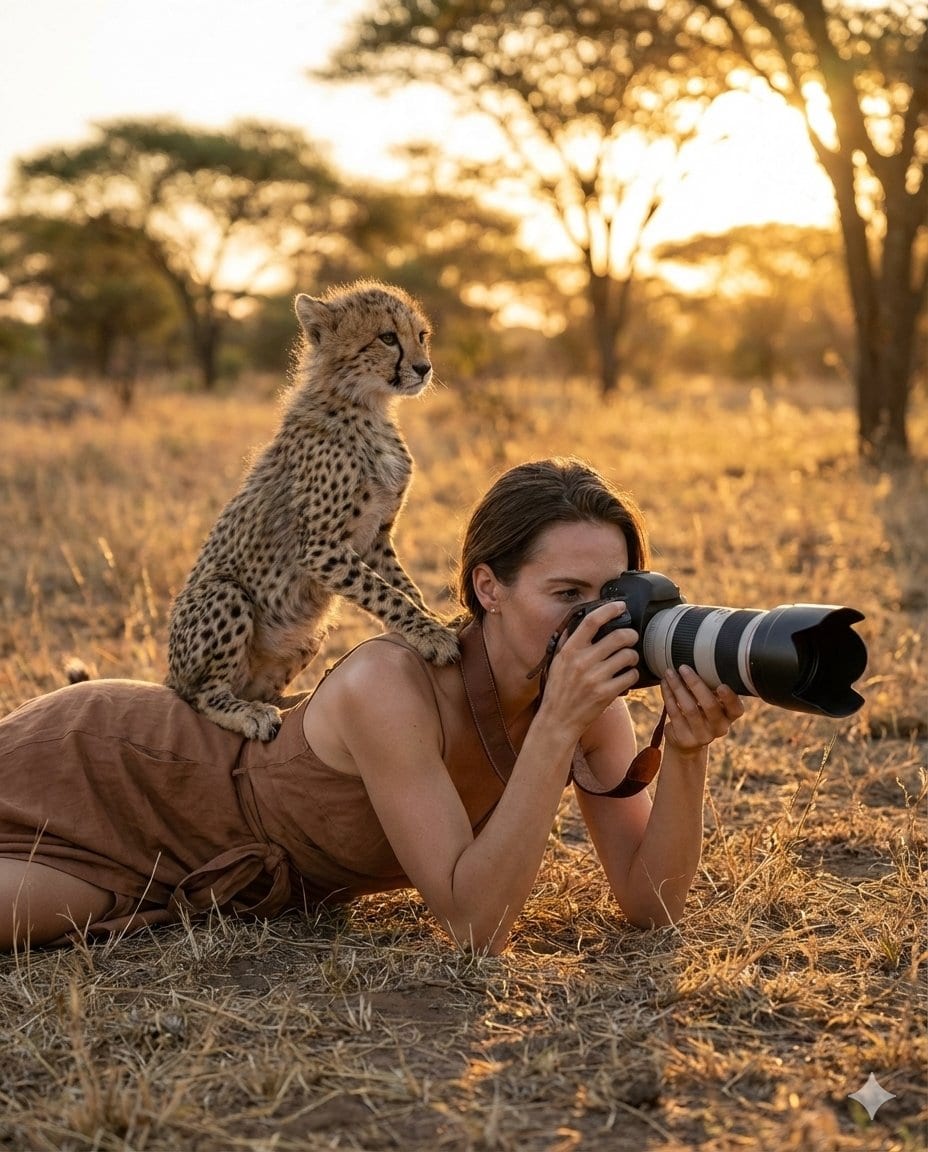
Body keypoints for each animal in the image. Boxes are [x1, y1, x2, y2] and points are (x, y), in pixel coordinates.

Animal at [165, 280, 459, 741]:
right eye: (387, 337)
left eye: (421, 335)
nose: (424, 367)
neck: (366, 406)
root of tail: (169, 675)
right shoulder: (320, 548)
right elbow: (386, 593)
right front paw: (430, 633)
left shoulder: (376, 539)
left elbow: (403, 587)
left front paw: (432, 621)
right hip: (223, 595)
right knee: (203, 695)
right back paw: (250, 714)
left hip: (311, 632)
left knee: (259, 688)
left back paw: (299, 697)